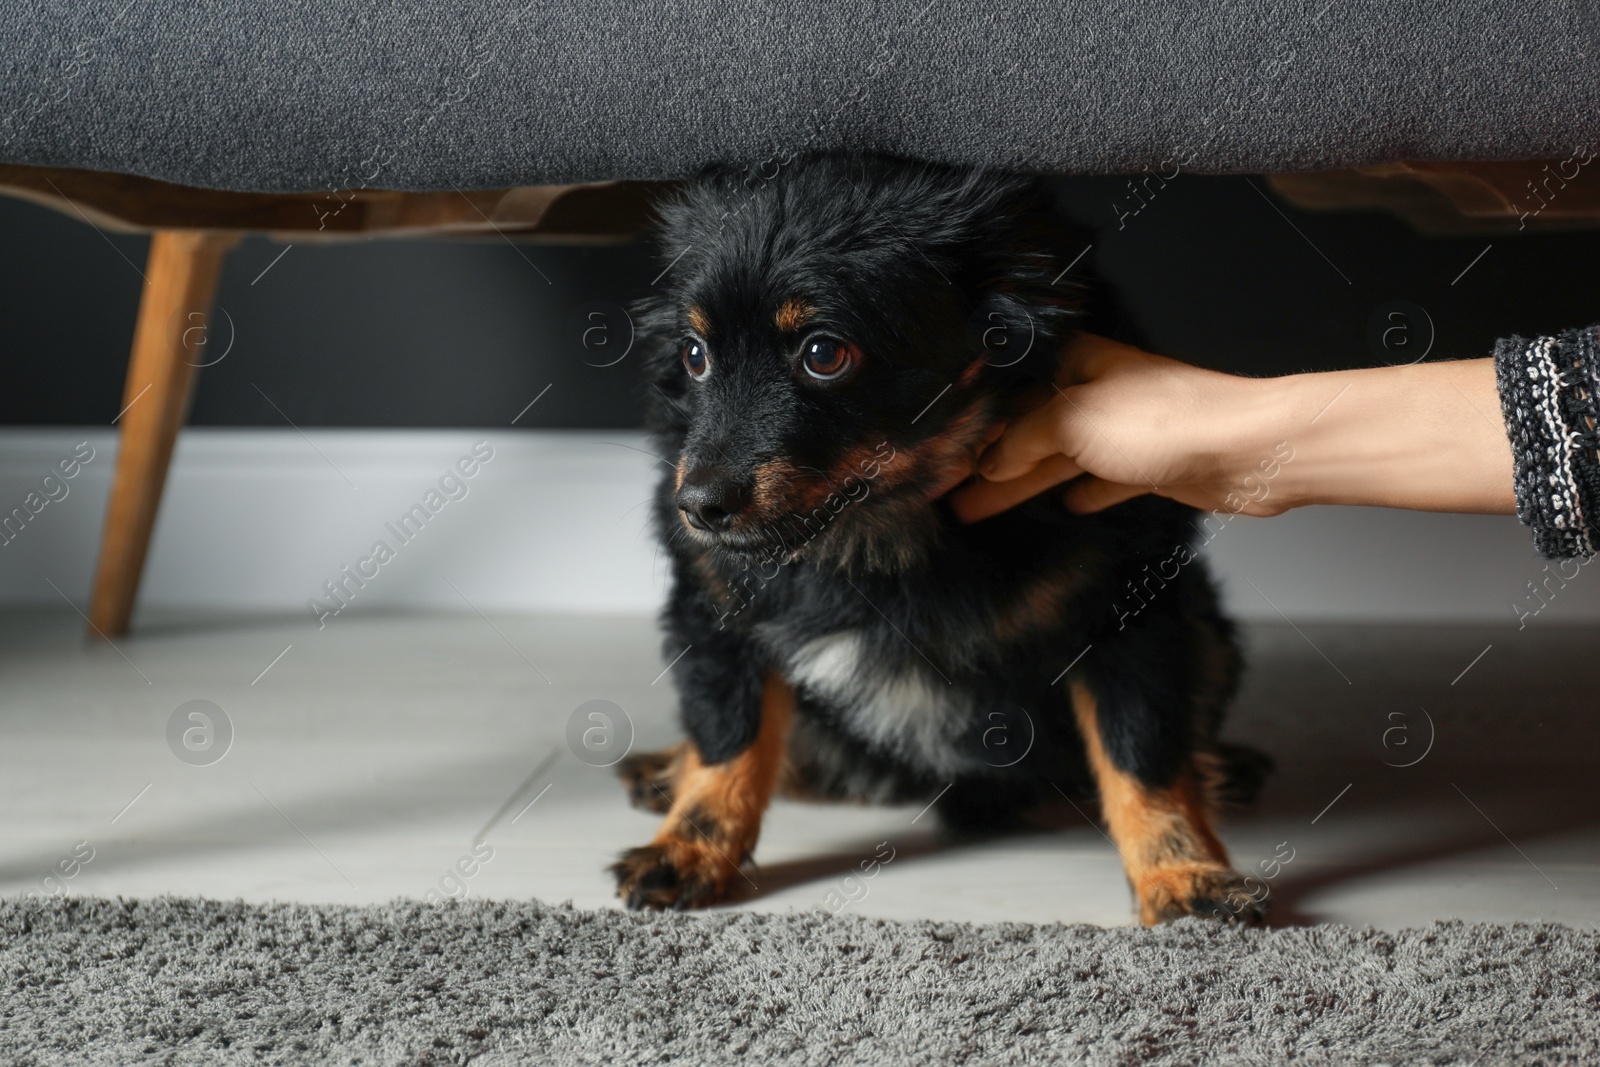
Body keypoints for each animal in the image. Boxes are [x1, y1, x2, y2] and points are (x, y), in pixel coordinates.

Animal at [604, 156, 1267, 927]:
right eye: (694, 354)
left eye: (823, 354)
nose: (698, 507)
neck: (882, 538)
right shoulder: (712, 610)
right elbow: (726, 737)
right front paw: (690, 847)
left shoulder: (1135, 610)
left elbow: (1143, 754)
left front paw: (1183, 871)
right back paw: (665, 767)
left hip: (1208, 625)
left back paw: (1220, 766)